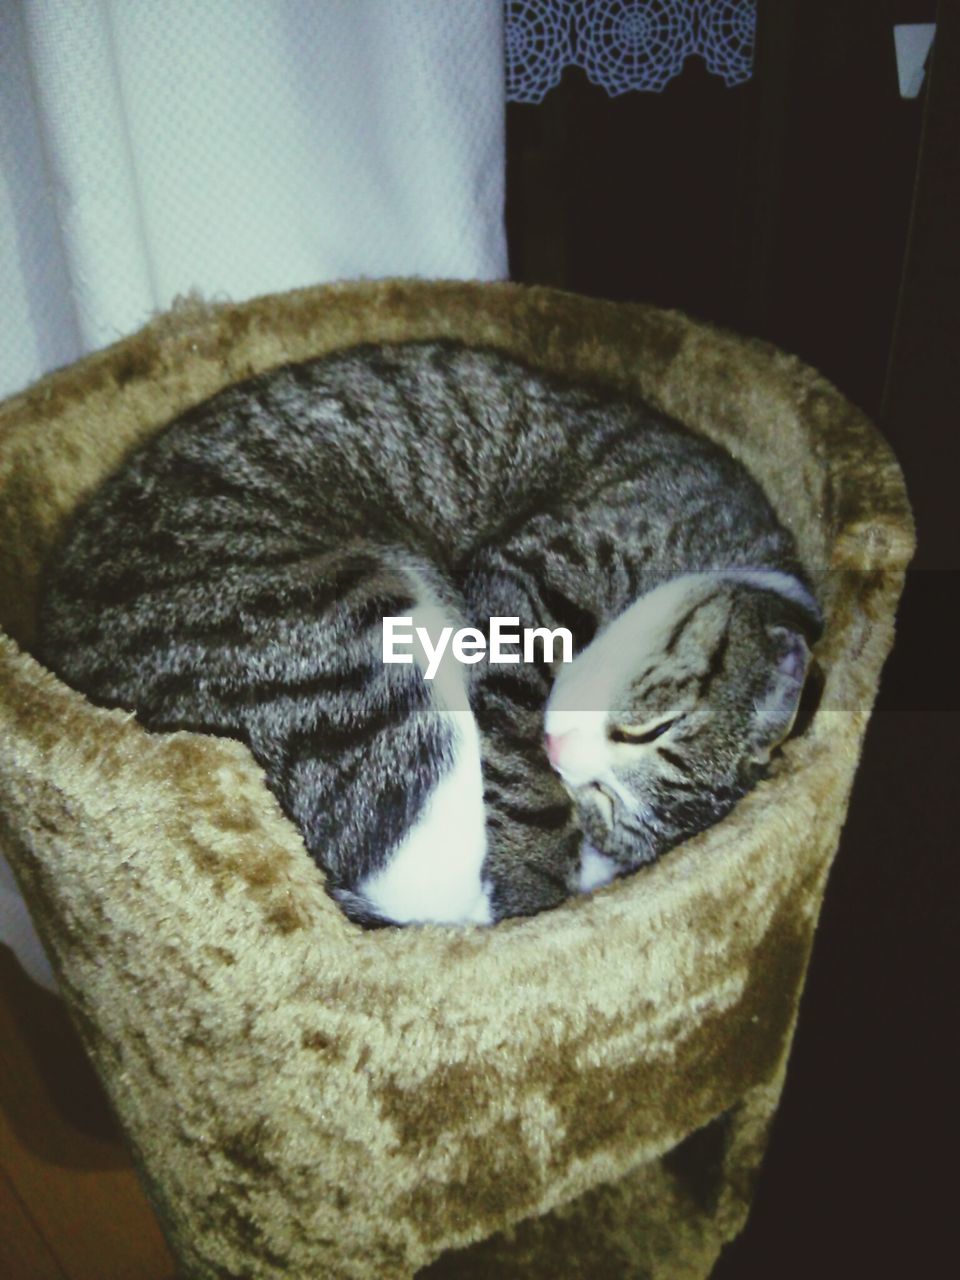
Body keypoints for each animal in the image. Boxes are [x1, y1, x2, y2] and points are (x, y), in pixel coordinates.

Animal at [35, 335, 819, 926]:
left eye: (607, 801)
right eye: (650, 729)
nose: (566, 755)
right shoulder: (533, 574)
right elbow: (520, 774)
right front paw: (536, 885)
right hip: (364, 646)